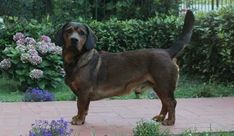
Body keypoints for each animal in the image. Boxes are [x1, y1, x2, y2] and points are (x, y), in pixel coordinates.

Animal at [56, 10, 194, 126]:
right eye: (68, 31)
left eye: (82, 33)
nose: (74, 40)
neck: (76, 59)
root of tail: (167, 52)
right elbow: (84, 108)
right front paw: (81, 118)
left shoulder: (84, 92)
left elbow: (80, 106)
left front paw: (79, 119)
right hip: (158, 86)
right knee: (165, 102)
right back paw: (160, 118)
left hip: (164, 85)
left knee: (171, 102)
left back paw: (170, 121)